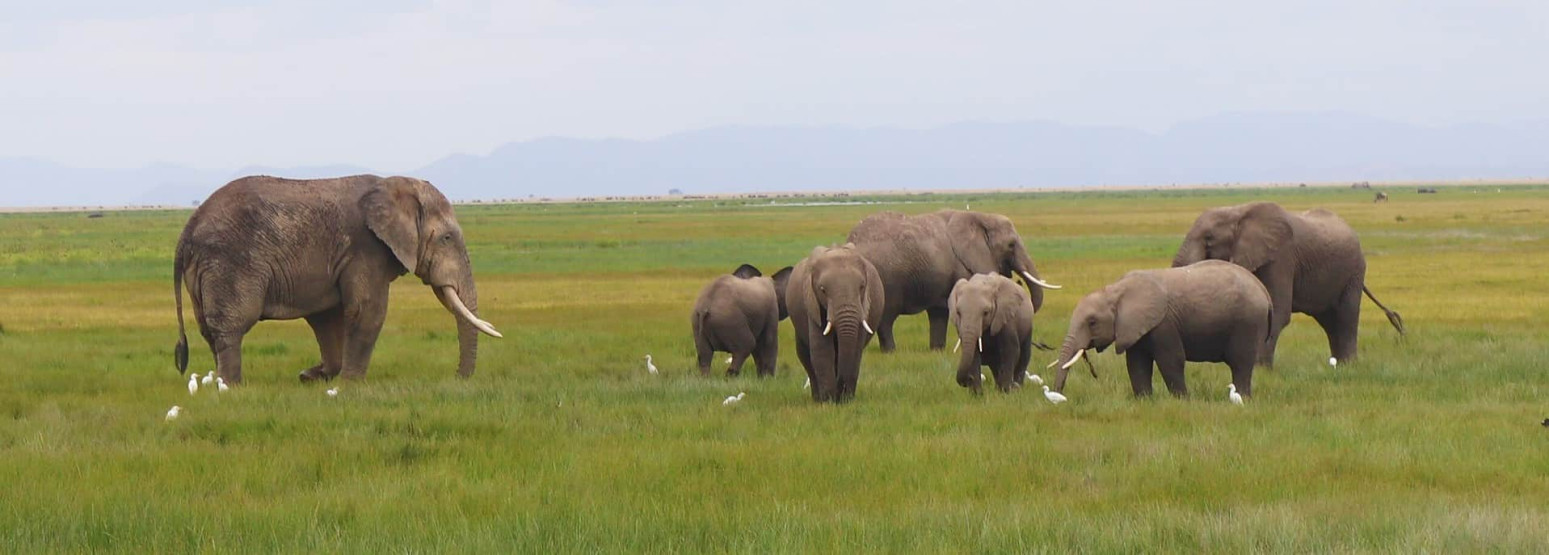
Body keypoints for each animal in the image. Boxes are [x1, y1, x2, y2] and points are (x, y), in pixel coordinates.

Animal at [175, 175, 501, 384]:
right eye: (447, 238)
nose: (458, 377)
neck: (392, 186)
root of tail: (189, 227)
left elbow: (327, 317)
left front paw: (311, 376)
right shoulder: (366, 247)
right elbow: (367, 311)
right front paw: (350, 384)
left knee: (208, 329)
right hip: (230, 263)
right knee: (232, 325)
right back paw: (231, 386)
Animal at [786, 243, 886, 403]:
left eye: (862, 287)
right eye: (822, 290)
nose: (840, 394)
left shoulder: (863, 306)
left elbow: (855, 350)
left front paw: (845, 400)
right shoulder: (812, 304)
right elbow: (821, 349)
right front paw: (828, 401)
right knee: (805, 356)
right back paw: (817, 398)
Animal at [848, 207, 1065, 351]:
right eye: (1011, 245)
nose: (1042, 345)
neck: (981, 216)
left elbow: (939, 312)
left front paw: (937, 351)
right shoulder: (963, 267)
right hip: (886, 278)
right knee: (886, 319)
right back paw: (891, 352)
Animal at [1040, 261, 1270, 396]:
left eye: (1092, 322)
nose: (1058, 393)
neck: (1116, 290)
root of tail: (1264, 291)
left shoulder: (1164, 323)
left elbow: (1171, 360)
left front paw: (1182, 400)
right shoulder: (1133, 327)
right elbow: (1136, 364)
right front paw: (1144, 401)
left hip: (1248, 322)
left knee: (1240, 363)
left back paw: (1242, 398)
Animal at [1171, 201, 1406, 365]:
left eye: (1209, 239)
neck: (1237, 211)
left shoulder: (1281, 256)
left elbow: (1278, 311)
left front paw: (1260, 369)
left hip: (1354, 271)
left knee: (1345, 316)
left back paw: (1348, 365)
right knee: (1330, 322)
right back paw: (1339, 364)